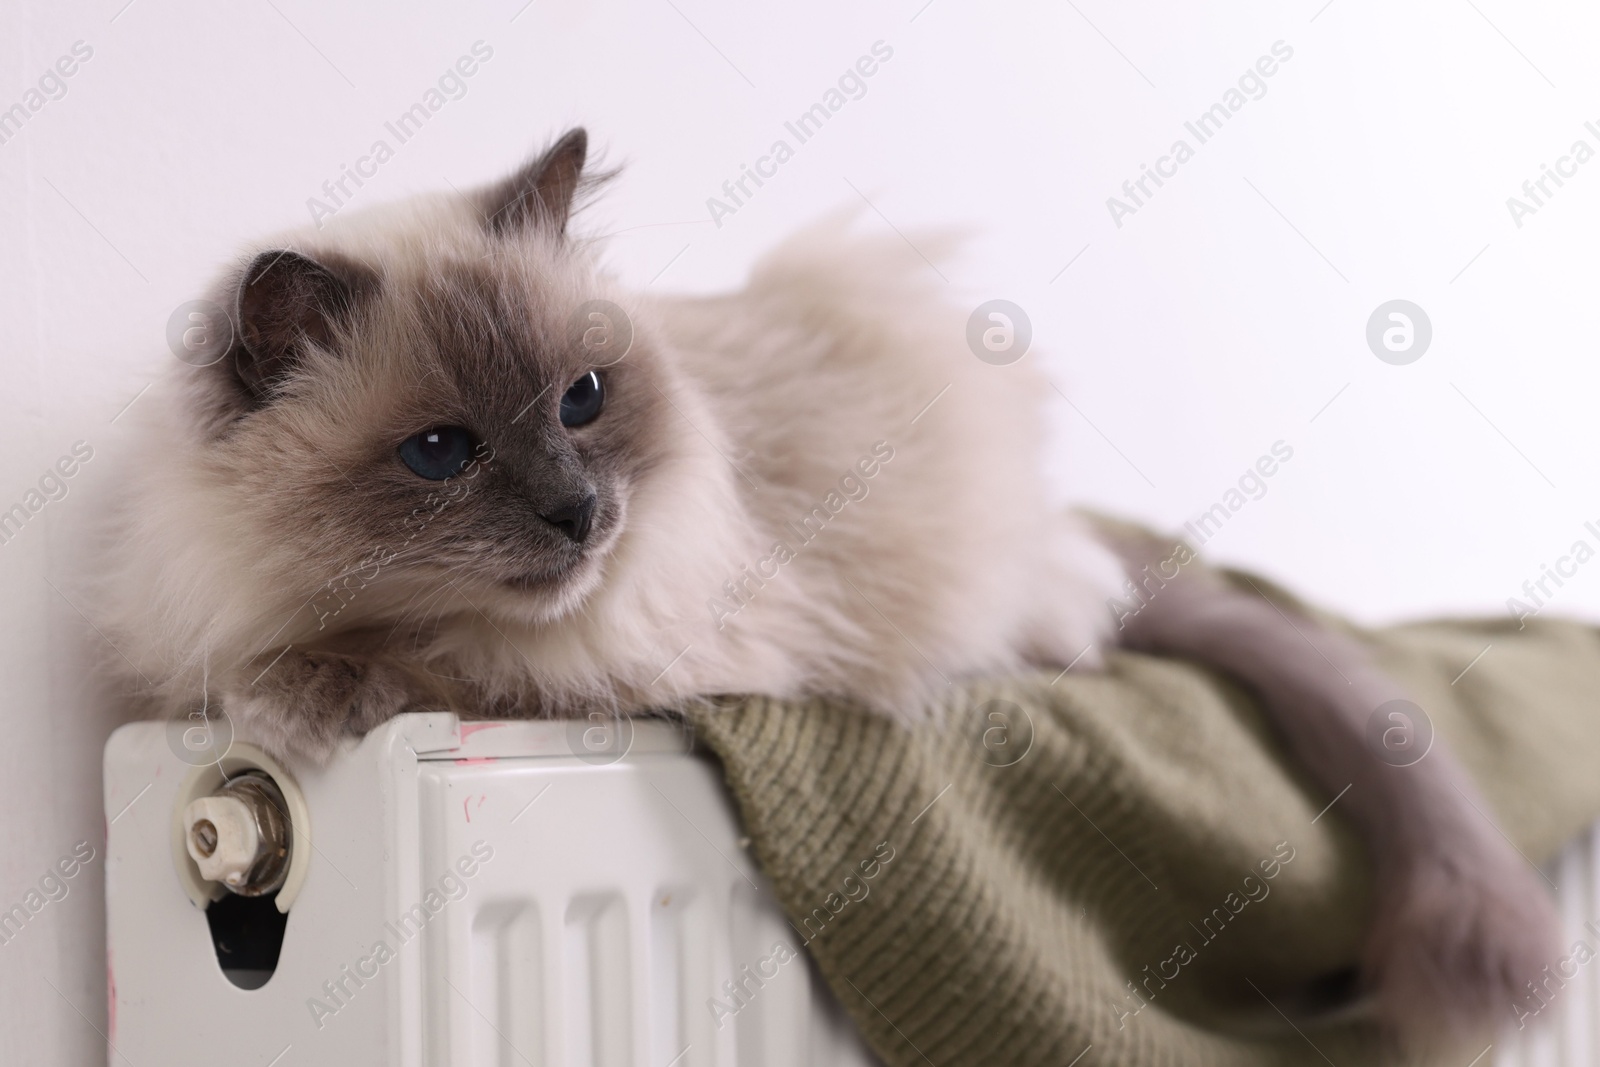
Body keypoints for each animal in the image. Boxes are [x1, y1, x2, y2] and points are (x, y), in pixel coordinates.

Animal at [100, 129, 1548, 1049]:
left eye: (582, 399)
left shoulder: (623, 651)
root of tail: (1052, 520)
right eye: (442, 453)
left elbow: (439, 652)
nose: (582, 512)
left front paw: (298, 696)